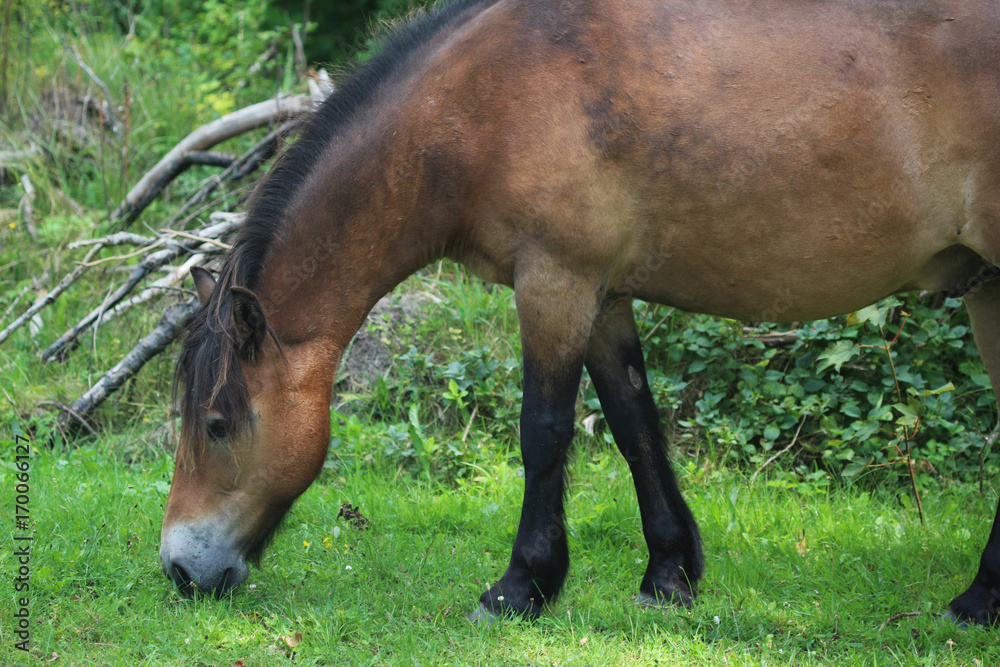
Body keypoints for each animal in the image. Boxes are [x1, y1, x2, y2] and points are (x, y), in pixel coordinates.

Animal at [159, 0, 1000, 625]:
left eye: (217, 424)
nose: (178, 569)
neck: (482, 103)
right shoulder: (602, 295)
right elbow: (635, 424)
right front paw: (669, 573)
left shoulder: (553, 283)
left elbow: (543, 432)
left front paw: (520, 586)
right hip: (986, 286)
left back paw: (976, 600)